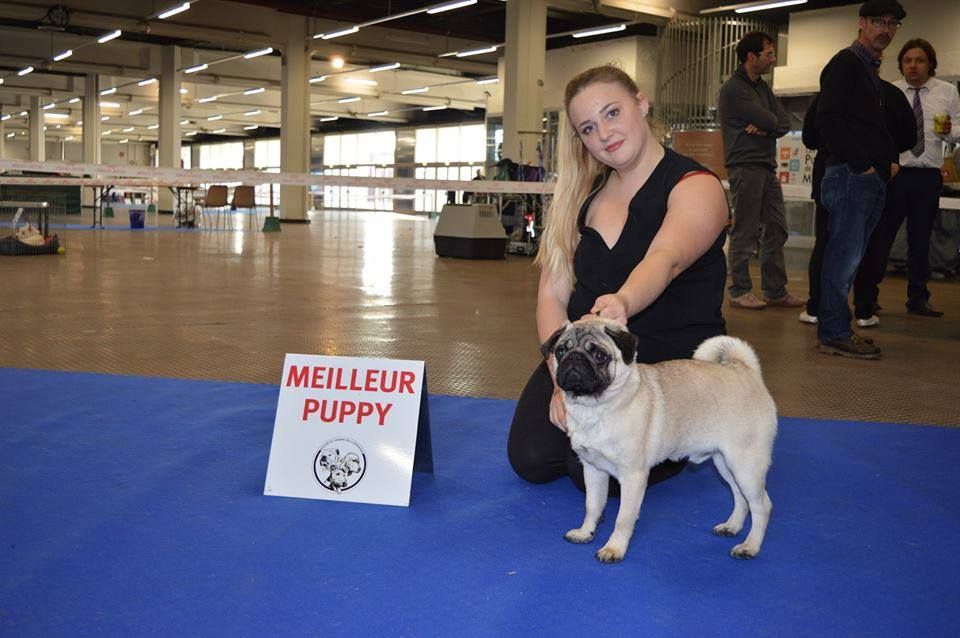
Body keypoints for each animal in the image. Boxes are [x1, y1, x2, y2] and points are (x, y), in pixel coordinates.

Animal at [544, 318, 776, 564]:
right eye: (561, 351)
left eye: (599, 355)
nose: (575, 358)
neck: (595, 408)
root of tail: (746, 371)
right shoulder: (593, 470)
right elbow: (593, 506)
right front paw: (585, 532)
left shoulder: (633, 477)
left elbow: (623, 518)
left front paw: (614, 548)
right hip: (725, 463)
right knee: (740, 497)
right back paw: (731, 527)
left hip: (745, 465)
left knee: (762, 506)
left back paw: (750, 546)